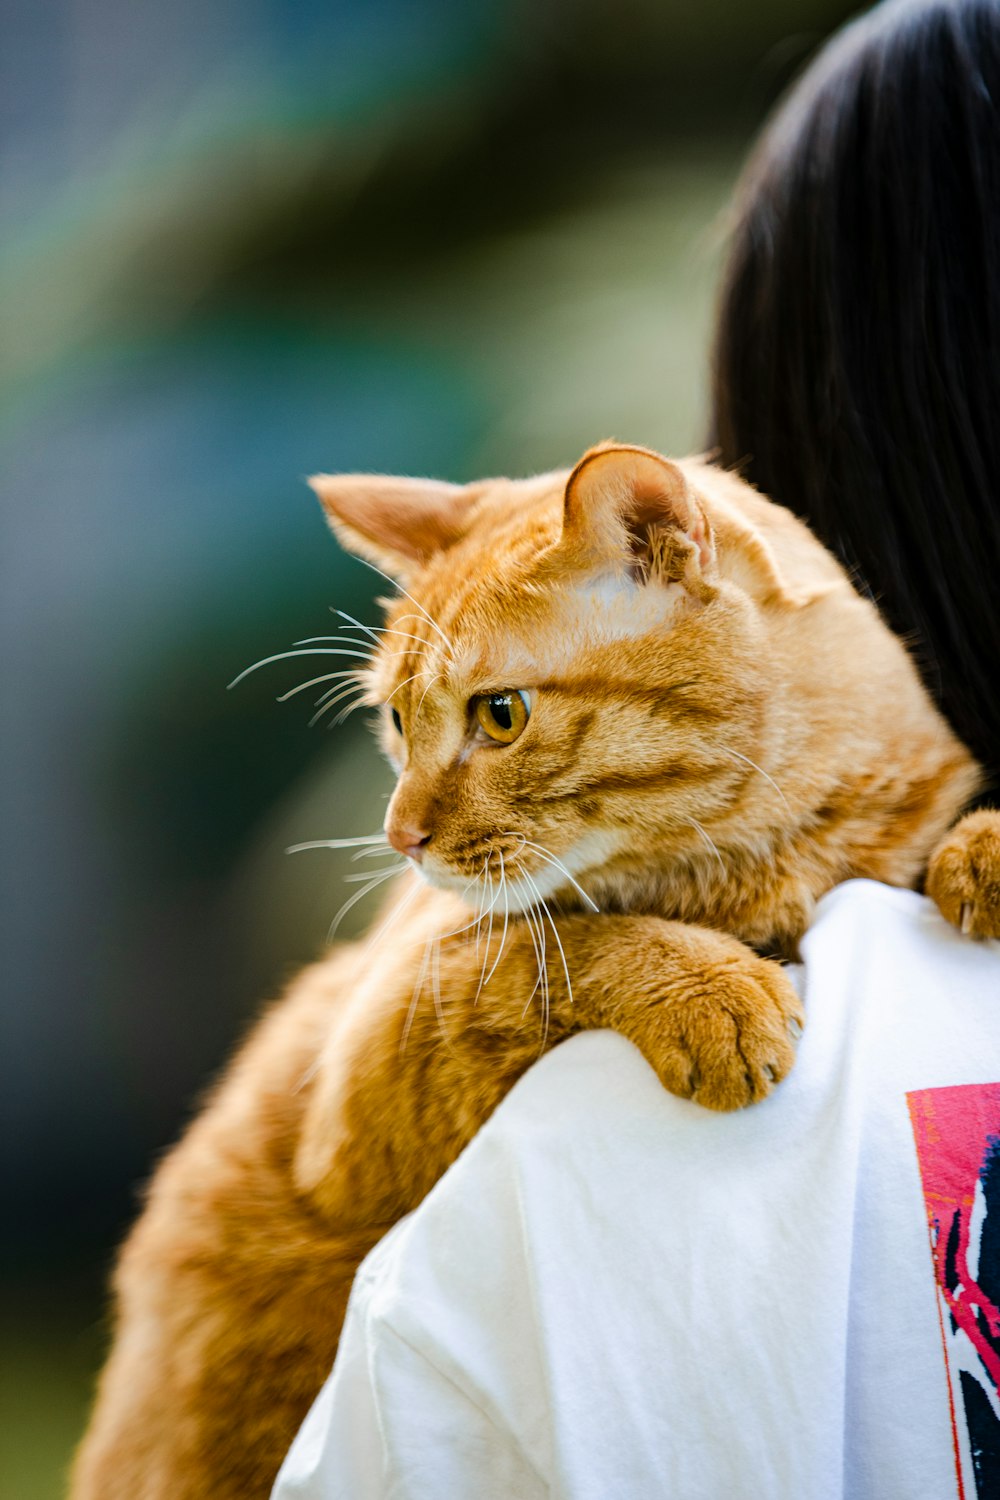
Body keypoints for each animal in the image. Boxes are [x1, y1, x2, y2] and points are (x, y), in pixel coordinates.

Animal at [70, 444, 995, 1500]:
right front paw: (712, 989)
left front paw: (982, 850)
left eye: (501, 715)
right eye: (398, 720)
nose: (400, 836)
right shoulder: (377, 1060)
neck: (767, 862)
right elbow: (560, 949)